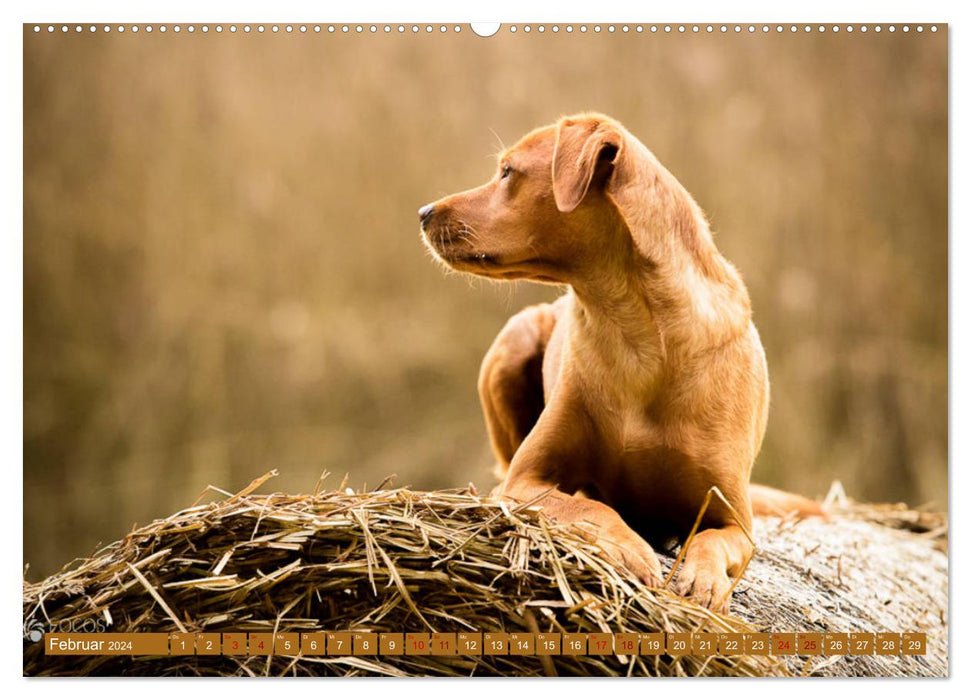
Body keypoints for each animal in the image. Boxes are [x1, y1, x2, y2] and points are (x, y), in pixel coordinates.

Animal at [418, 113, 820, 608]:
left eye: (507, 172)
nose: (423, 212)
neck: (636, 333)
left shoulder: (734, 519)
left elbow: (712, 540)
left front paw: (703, 582)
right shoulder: (527, 480)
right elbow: (592, 506)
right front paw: (629, 549)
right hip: (514, 340)